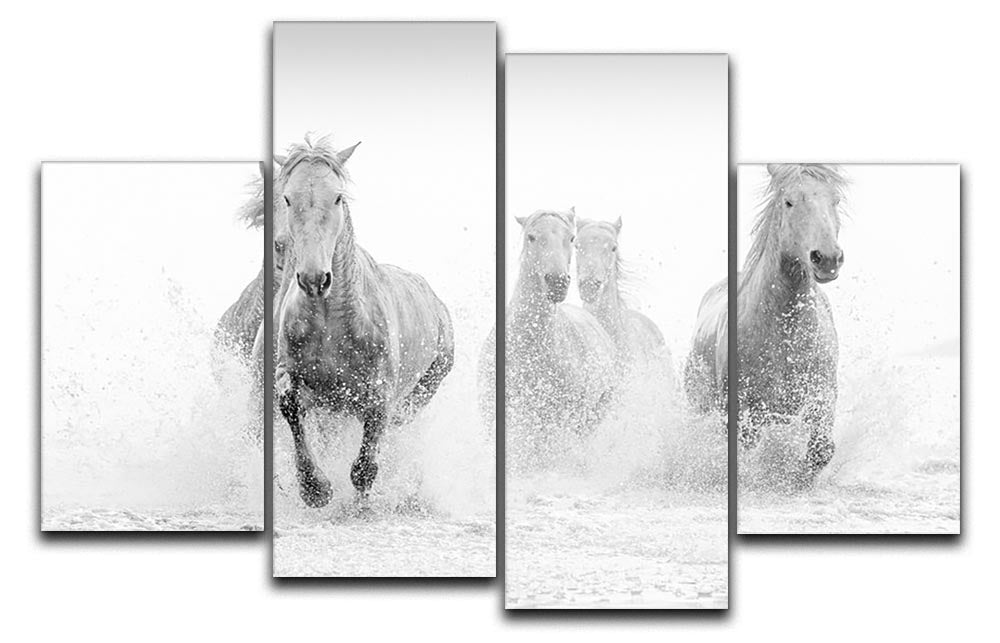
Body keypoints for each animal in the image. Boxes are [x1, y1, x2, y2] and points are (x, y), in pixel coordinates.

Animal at [275, 135, 454, 508]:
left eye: (338, 197)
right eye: (287, 197)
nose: (314, 279)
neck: (330, 322)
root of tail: (436, 303)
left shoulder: (379, 394)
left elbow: (365, 464)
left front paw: (359, 503)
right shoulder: (294, 374)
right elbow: (290, 404)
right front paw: (315, 489)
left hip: (424, 389)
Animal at [686, 163, 845, 482]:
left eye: (835, 200)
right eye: (789, 202)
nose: (826, 259)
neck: (785, 333)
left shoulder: (821, 394)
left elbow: (821, 450)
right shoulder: (741, 411)